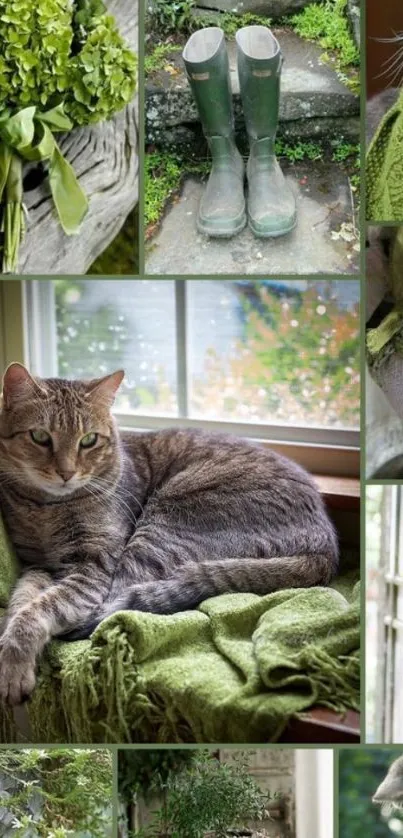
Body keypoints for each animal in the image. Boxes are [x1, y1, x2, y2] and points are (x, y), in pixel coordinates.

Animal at [0, 364, 340, 704]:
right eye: (40, 436)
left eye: (89, 440)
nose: (67, 473)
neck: (45, 508)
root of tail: (325, 547)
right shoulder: (36, 564)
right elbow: (23, 601)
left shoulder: (92, 567)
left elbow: (42, 608)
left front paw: (14, 664)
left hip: (164, 523)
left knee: (115, 604)